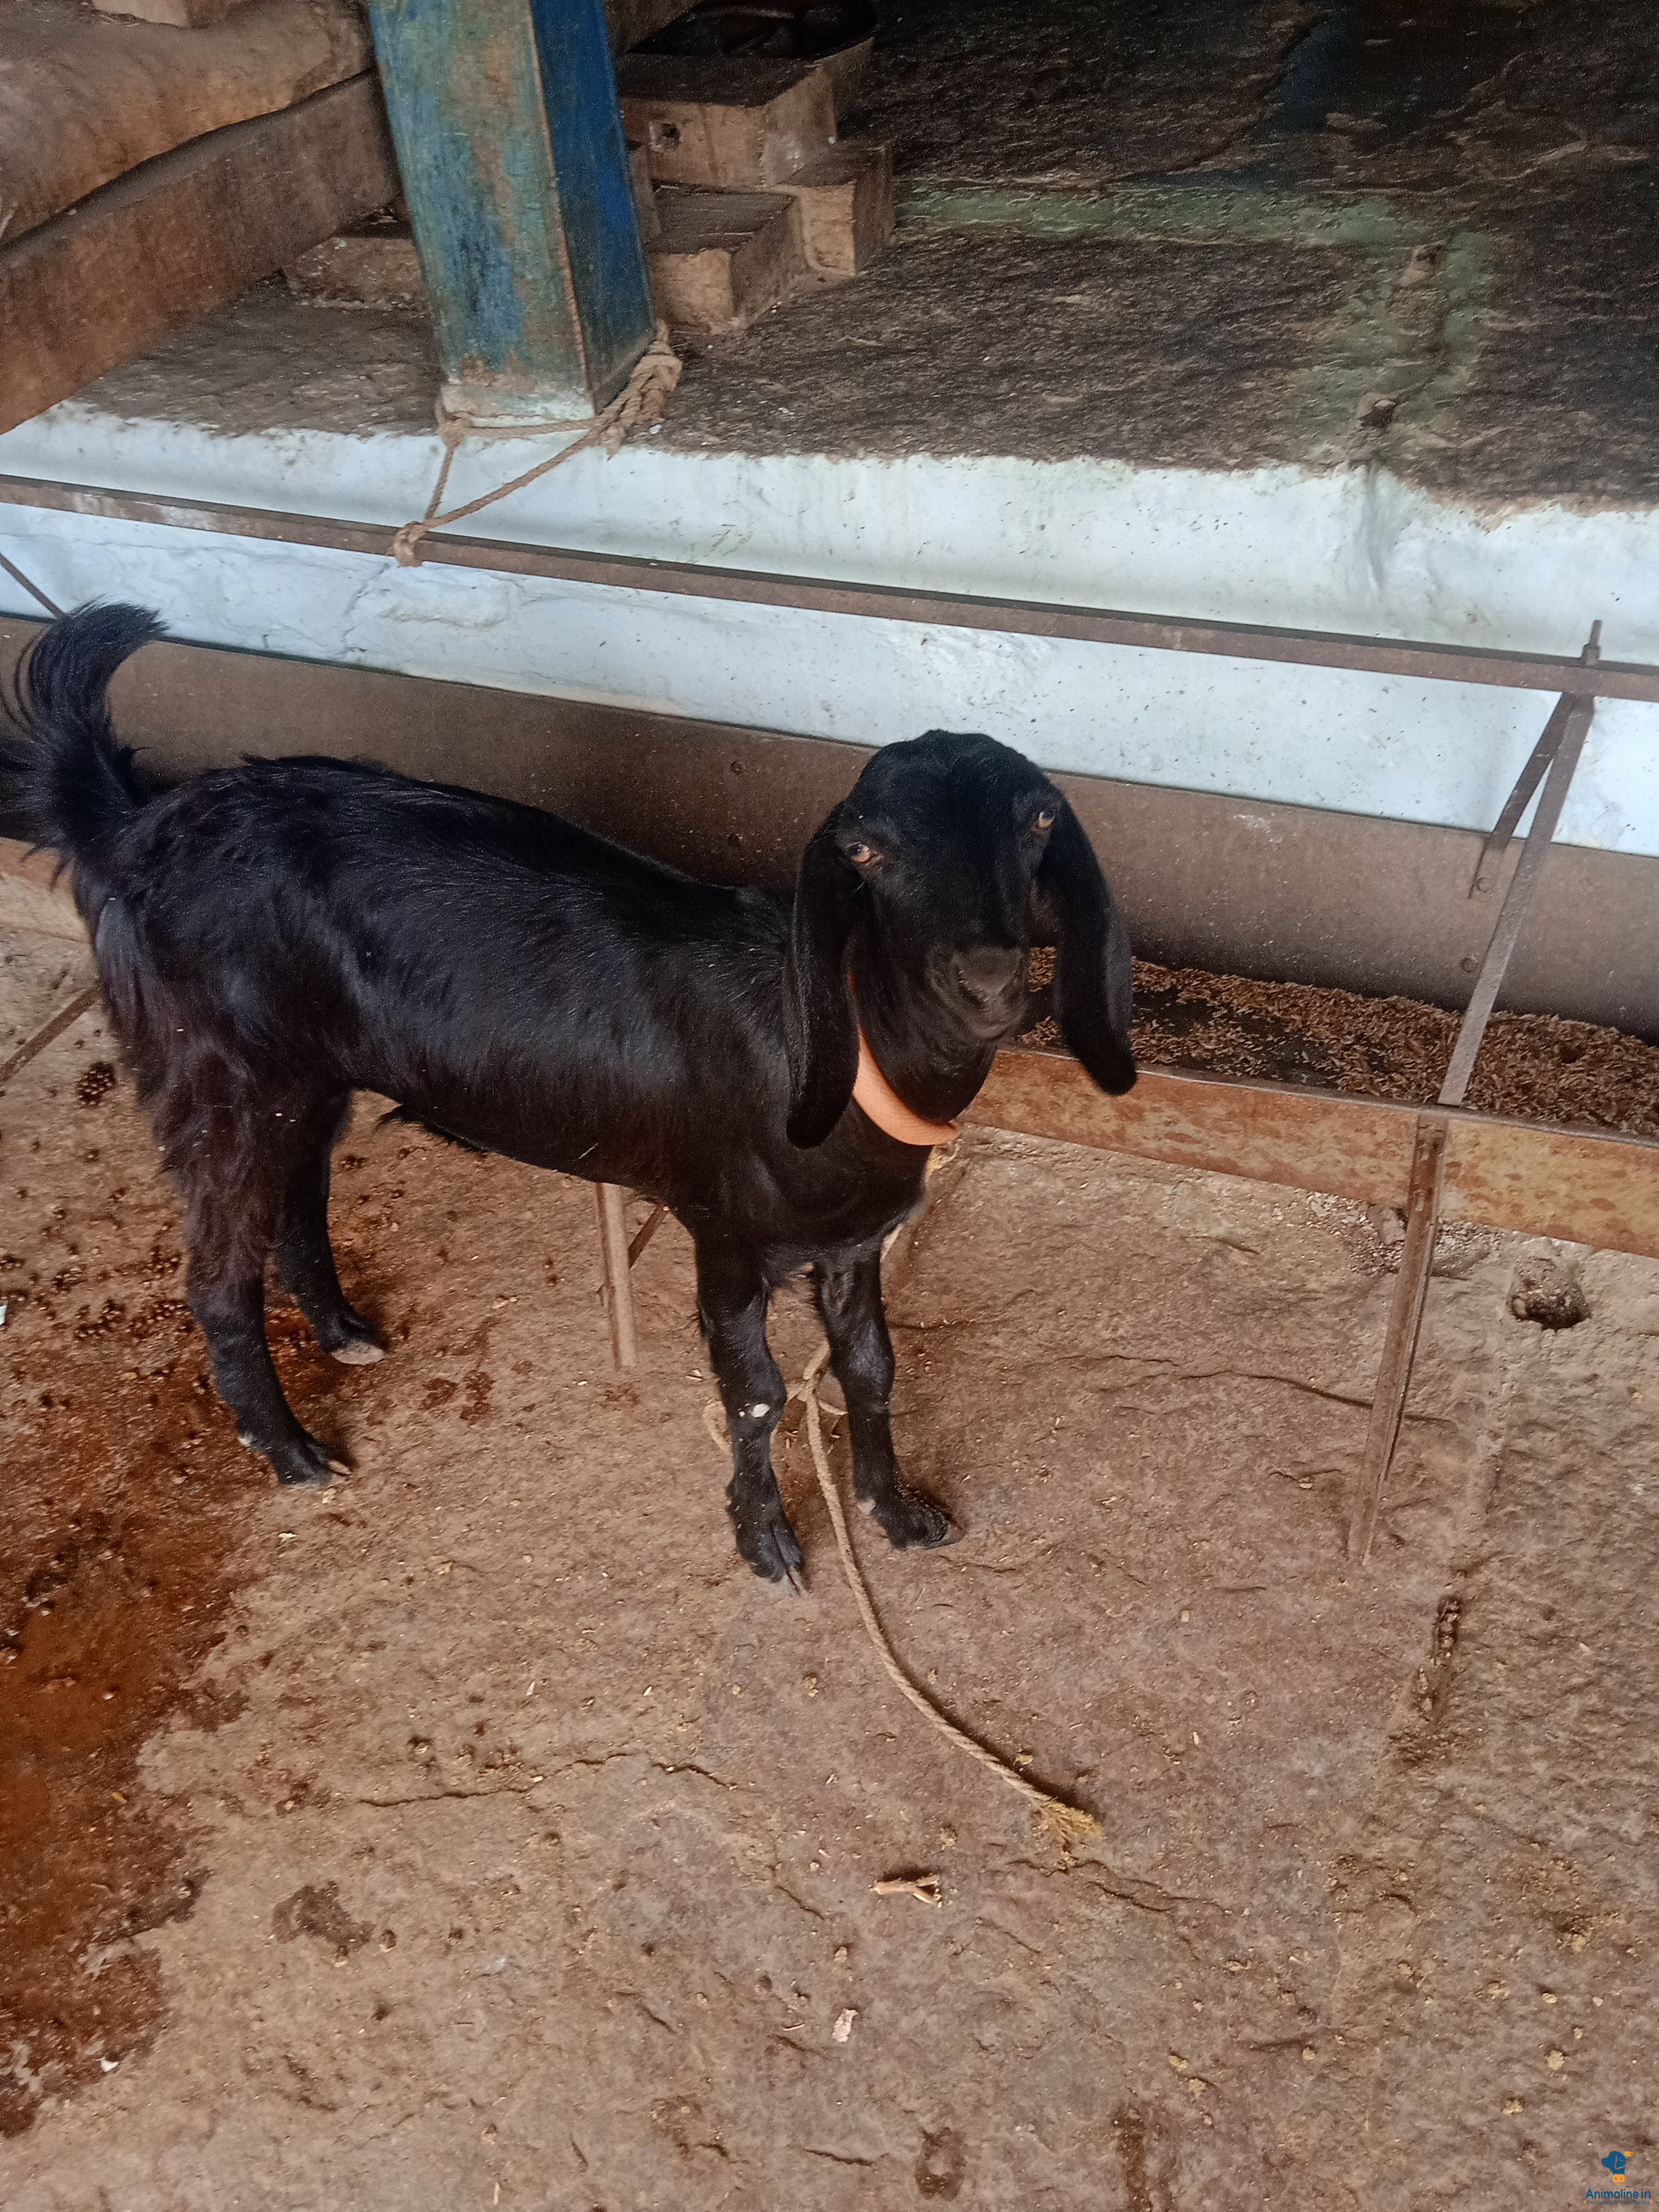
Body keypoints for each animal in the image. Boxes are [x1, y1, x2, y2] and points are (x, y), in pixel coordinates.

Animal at [6, 605, 1135, 1588]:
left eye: (1041, 821)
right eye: (867, 850)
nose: (985, 977)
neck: (846, 1060)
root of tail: (139, 826)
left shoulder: (853, 1243)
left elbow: (869, 1365)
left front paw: (896, 1515)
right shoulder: (728, 1236)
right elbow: (759, 1400)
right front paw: (767, 1546)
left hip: (305, 1071)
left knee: (299, 1196)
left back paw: (341, 1331)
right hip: (215, 1071)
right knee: (216, 1274)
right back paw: (290, 1452)